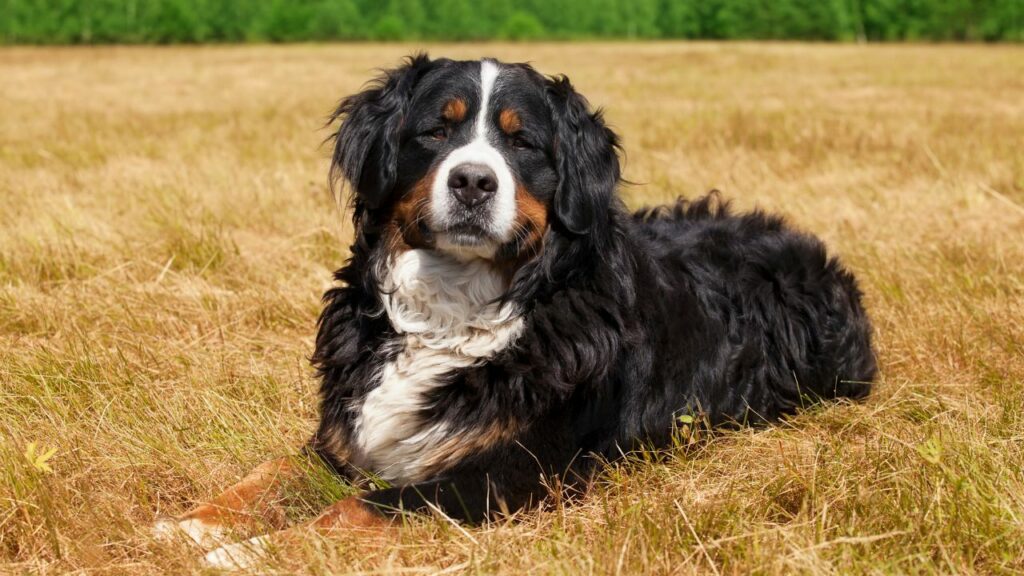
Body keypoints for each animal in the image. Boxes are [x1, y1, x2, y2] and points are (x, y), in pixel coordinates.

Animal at [155, 53, 876, 565]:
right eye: (436, 131)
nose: (473, 181)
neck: (452, 308)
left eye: (522, 143)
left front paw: (248, 552)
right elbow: (270, 473)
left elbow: (358, 510)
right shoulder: (345, 435)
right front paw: (189, 524)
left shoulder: (505, 474)